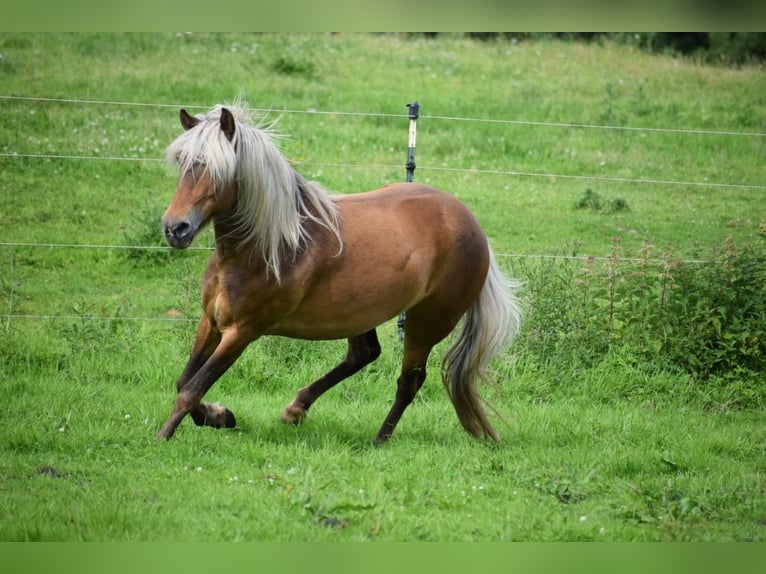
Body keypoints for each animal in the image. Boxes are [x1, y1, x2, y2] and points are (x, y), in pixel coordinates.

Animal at [157, 101, 522, 443]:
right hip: (359, 313)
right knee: (364, 354)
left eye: (217, 170)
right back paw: (296, 409)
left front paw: (165, 435)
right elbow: (183, 381)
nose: (176, 228)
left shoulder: (243, 331)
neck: (268, 247)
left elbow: (192, 389)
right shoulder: (211, 322)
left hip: (426, 322)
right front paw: (220, 416)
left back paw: (379, 440)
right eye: (183, 163)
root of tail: (473, 225)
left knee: (410, 380)